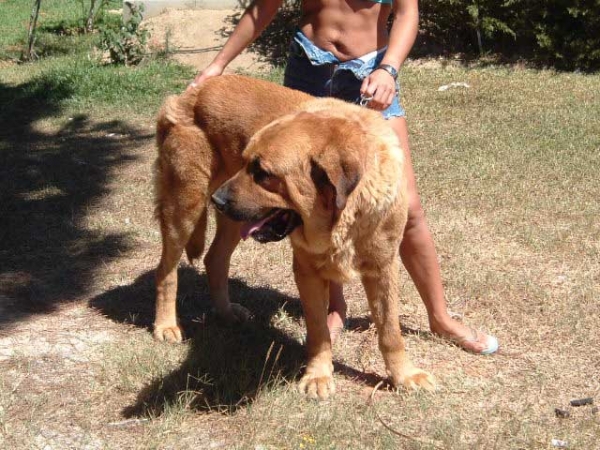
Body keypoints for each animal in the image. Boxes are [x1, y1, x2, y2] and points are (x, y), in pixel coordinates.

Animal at [154, 75, 436, 400]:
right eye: (246, 161)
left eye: (263, 173)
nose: (218, 200)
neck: (345, 217)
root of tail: (191, 91)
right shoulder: (307, 271)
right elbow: (319, 330)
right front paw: (318, 375)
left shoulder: (383, 268)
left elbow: (390, 331)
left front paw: (404, 375)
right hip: (185, 208)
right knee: (166, 271)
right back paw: (165, 325)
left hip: (232, 221)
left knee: (215, 259)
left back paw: (226, 312)